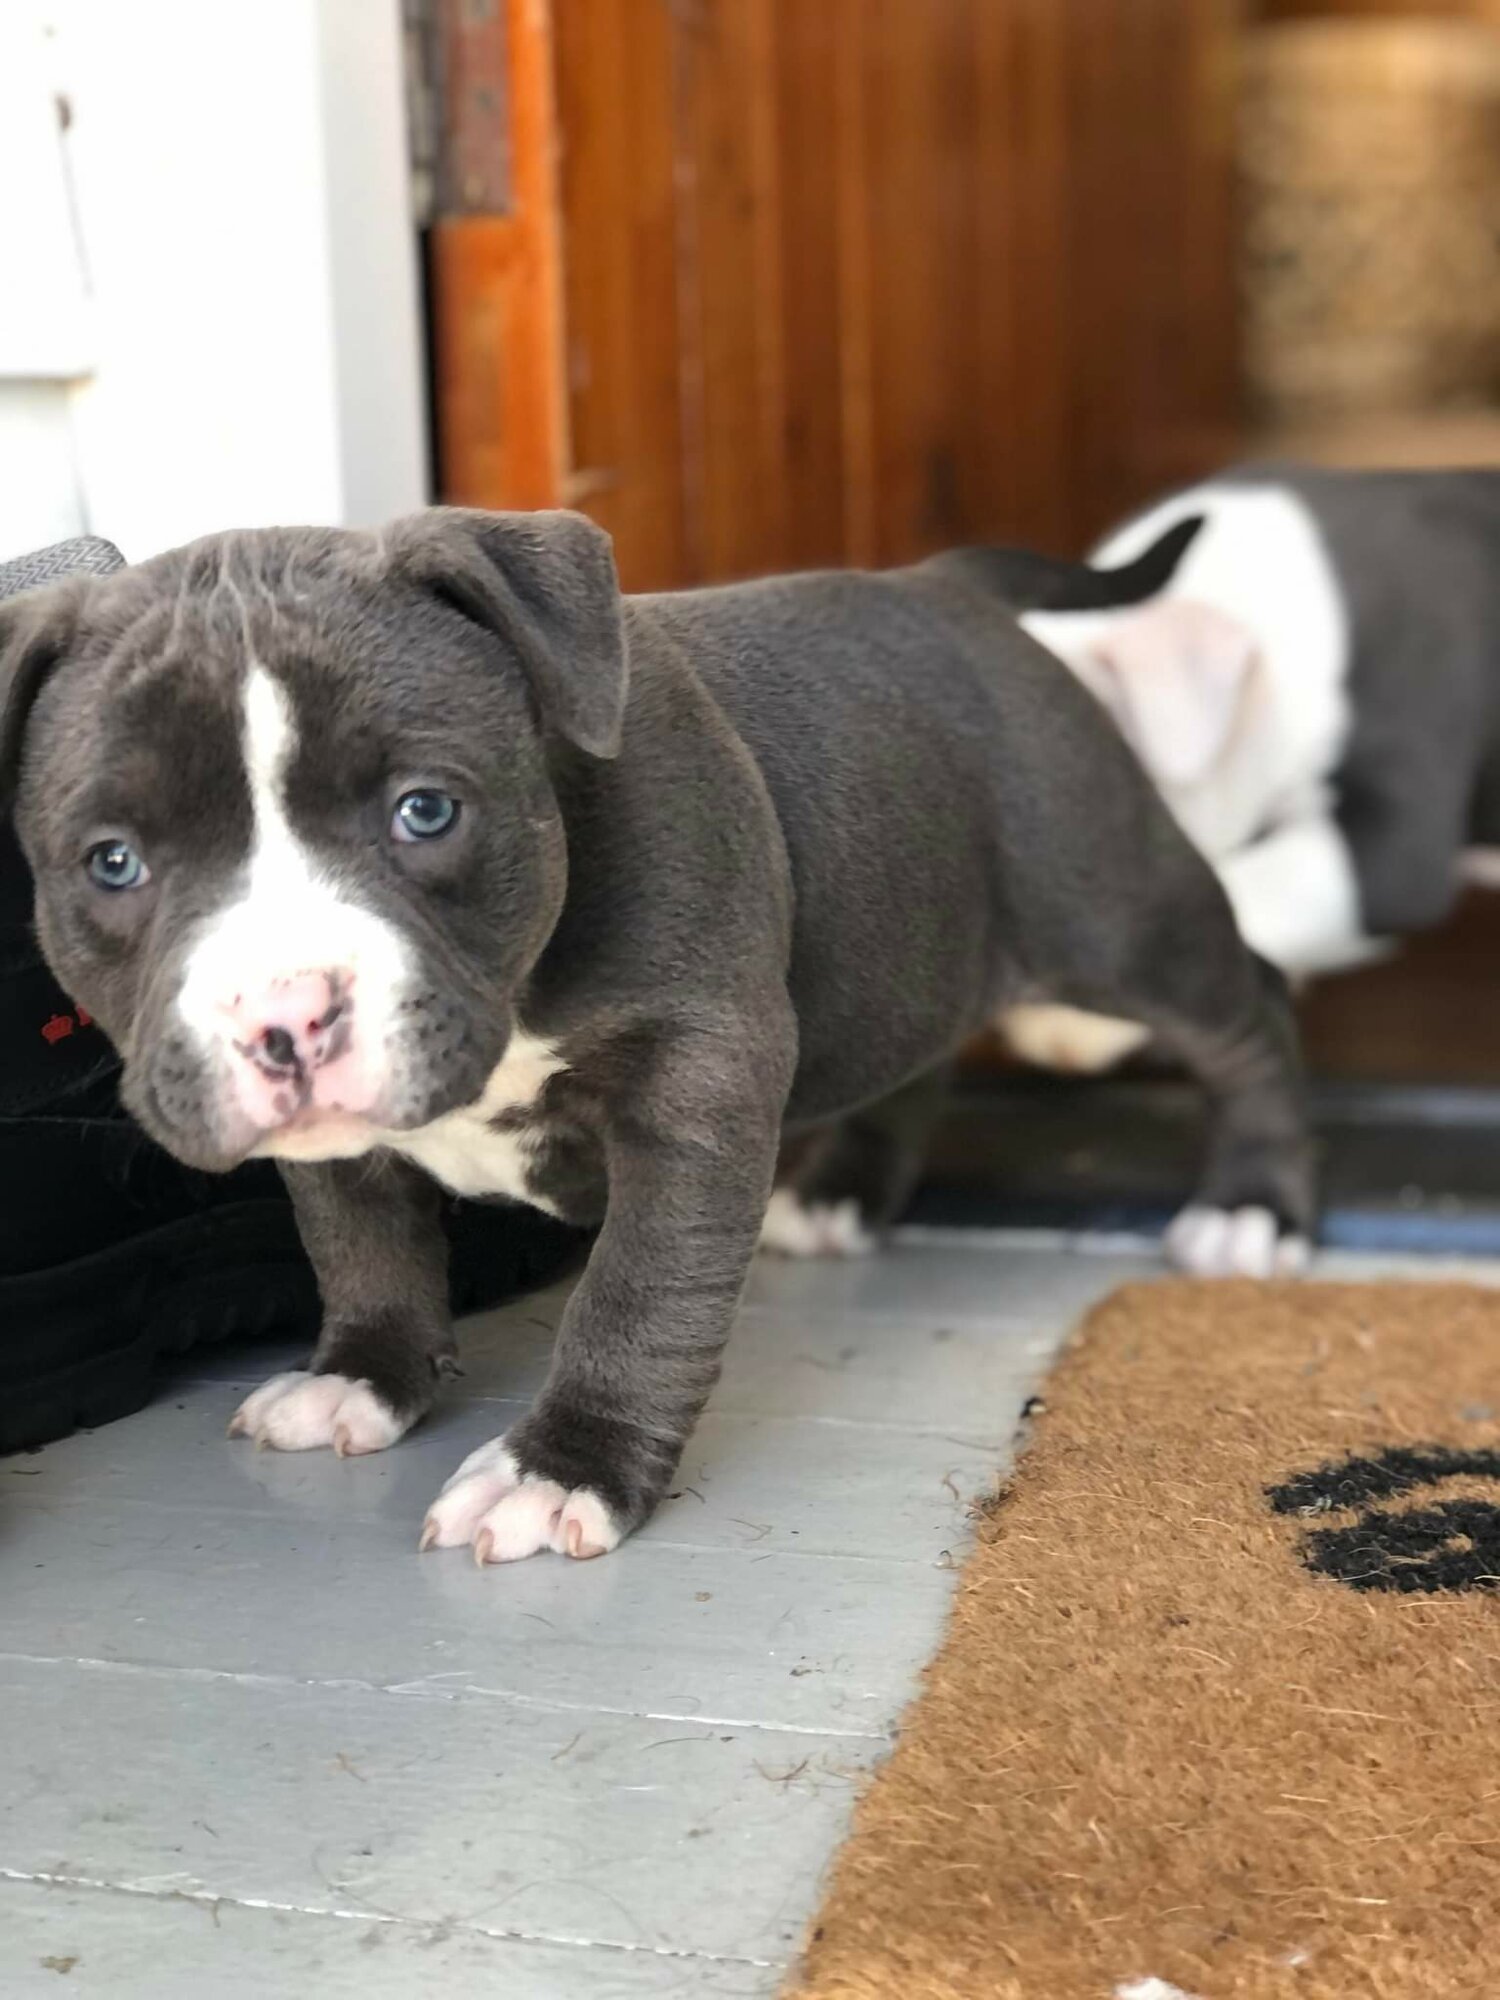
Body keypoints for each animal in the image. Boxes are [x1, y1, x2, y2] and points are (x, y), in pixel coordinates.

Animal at [0, 512, 1312, 1560]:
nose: (286, 1013)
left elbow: (638, 1290)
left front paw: (560, 1469)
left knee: (1251, 1010)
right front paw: (360, 1378)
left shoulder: (697, 1082)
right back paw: (844, 1194)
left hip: (1115, 910)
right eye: (112, 861)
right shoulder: (342, 1142)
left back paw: (1254, 1204)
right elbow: (359, 1240)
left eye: (426, 809)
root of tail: (946, 585)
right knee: (916, 1057)